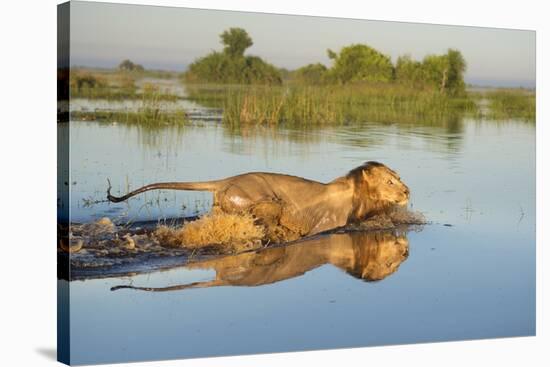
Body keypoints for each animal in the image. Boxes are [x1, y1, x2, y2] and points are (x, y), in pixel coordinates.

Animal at [106, 161, 410, 242]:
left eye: (398, 177)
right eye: (390, 182)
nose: (408, 191)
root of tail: (224, 180)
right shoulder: (327, 225)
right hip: (265, 200)